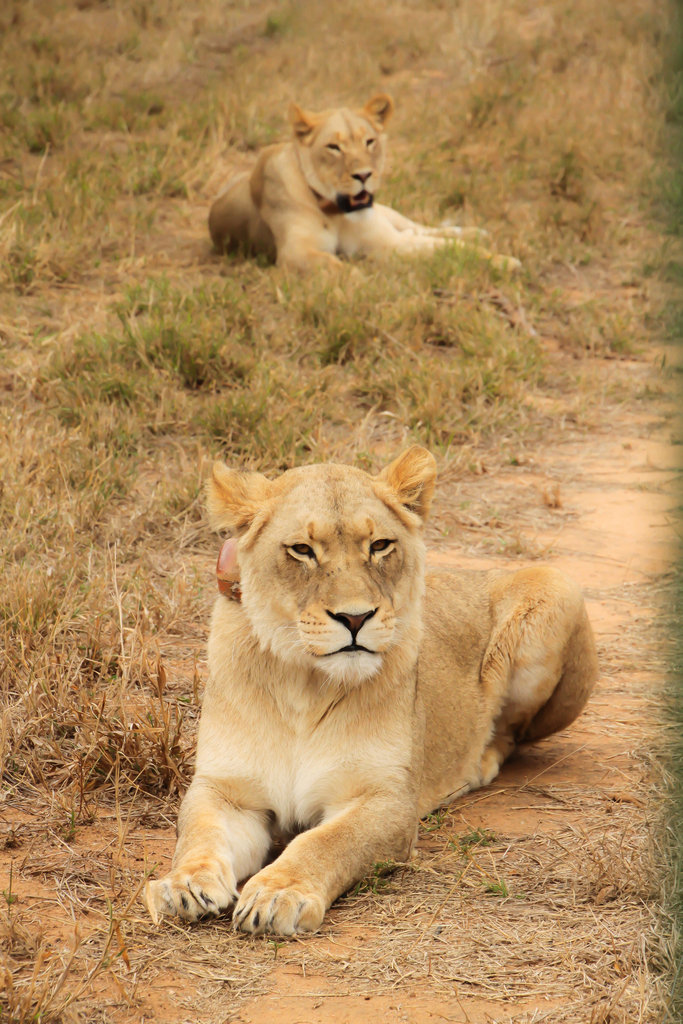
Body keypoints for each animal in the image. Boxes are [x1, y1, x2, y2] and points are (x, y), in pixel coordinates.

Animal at [144, 446, 598, 936]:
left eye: (379, 545)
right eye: (302, 550)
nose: (355, 618)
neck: (304, 685)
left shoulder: (387, 799)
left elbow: (326, 841)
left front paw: (278, 893)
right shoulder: (227, 791)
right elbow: (198, 834)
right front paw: (183, 885)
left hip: (555, 586)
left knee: (511, 735)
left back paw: (475, 764)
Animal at [208, 94, 519, 271]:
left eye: (369, 141)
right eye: (334, 147)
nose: (364, 176)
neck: (336, 212)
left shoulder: (385, 242)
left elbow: (450, 249)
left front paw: (503, 261)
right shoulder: (294, 252)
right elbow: (334, 267)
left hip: (389, 214)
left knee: (421, 229)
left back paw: (474, 232)